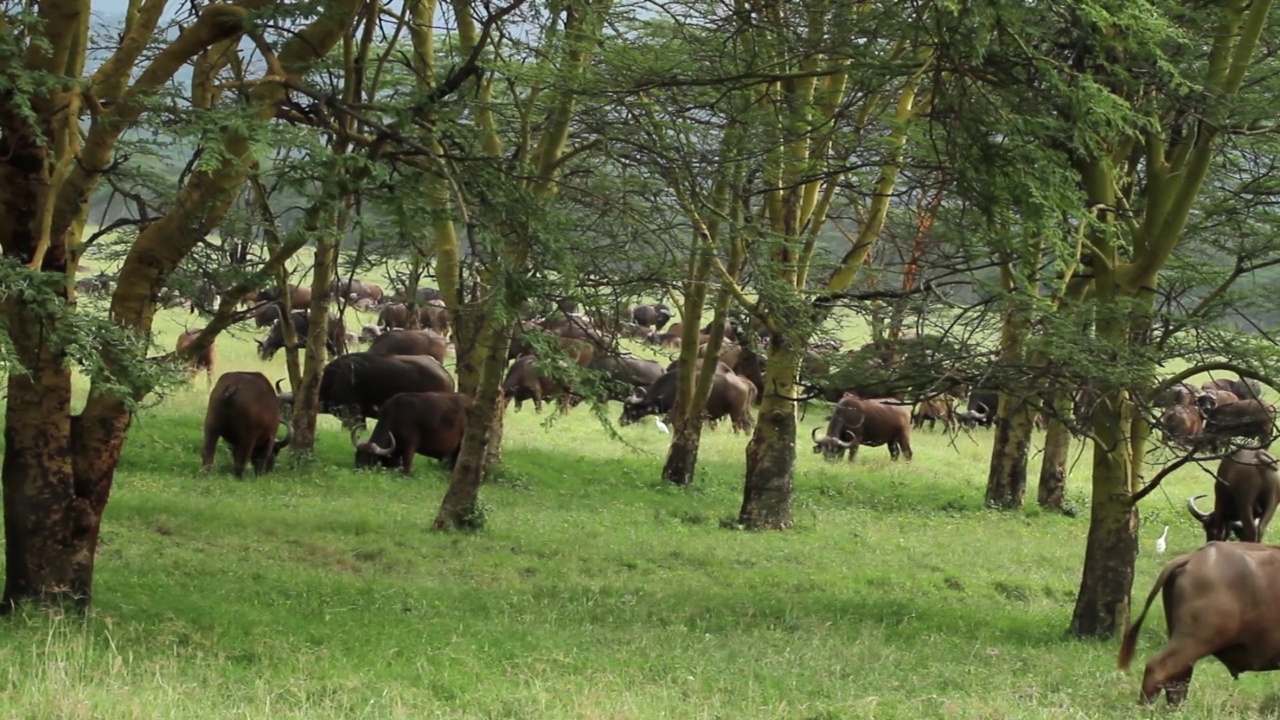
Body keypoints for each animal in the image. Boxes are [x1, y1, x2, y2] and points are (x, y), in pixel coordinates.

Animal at [616, 366, 752, 427]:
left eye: (630, 408)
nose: (621, 421)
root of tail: (743, 383)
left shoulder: (673, 413)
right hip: (743, 413)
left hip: (735, 414)